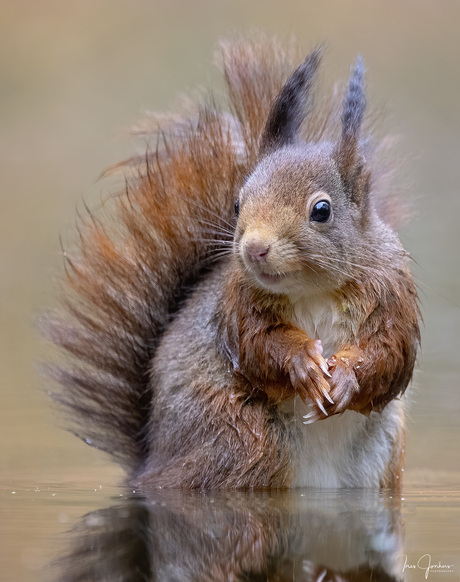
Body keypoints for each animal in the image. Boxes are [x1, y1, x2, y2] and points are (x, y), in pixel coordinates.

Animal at [45, 34, 422, 490]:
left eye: (322, 210)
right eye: (238, 203)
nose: (255, 248)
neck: (312, 290)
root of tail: (152, 463)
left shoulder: (393, 292)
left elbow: (390, 353)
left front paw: (347, 378)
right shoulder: (237, 304)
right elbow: (258, 344)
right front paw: (303, 365)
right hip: (245, 437)